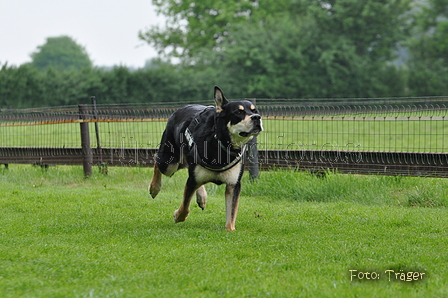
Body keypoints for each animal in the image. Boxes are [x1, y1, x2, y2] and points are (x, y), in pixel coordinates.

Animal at [150, 85, 262, 230]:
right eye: (238, 112)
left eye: (255, 110)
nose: (257, 117)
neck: (221, 143)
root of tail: (180, 109)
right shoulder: (192, 180)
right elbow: (185, 206)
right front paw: (178, 215)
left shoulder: (233, 185)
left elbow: (231, 214)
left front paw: (230, 229)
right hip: (169, 162)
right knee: (156, 158)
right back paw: (154, 188)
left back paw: (201, 197)